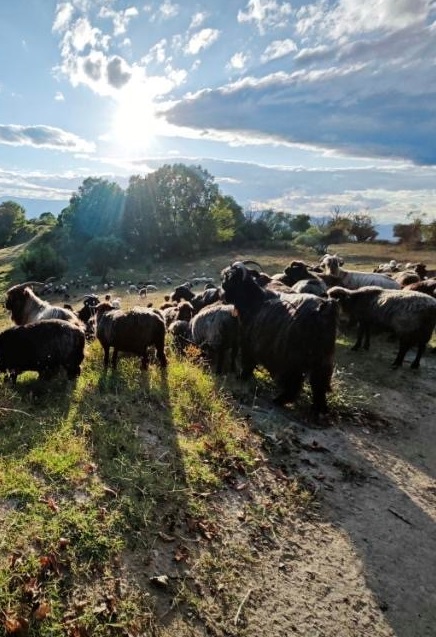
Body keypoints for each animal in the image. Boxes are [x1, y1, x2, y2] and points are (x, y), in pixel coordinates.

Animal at [221, 262, 338, 414]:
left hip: (294, 357)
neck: (255, 300)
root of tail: (324, 308)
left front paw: (242, 376)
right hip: (323, 359)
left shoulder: (249, 343)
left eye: (231, 279)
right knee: (319, 384)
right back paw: (319, 409)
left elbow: (248, 362)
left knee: (295, 383)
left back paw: (280, 400)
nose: (223, 290)